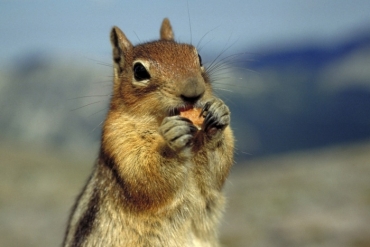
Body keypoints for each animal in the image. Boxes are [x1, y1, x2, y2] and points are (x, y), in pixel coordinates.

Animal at [62, 17, 233, 247]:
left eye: (198, 57)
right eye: (140, 71)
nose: (194, 91)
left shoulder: (209, 185)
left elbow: (214, 174)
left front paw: (218, 114)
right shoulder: (118, 142)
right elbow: (145, 175)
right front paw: (171, 143)